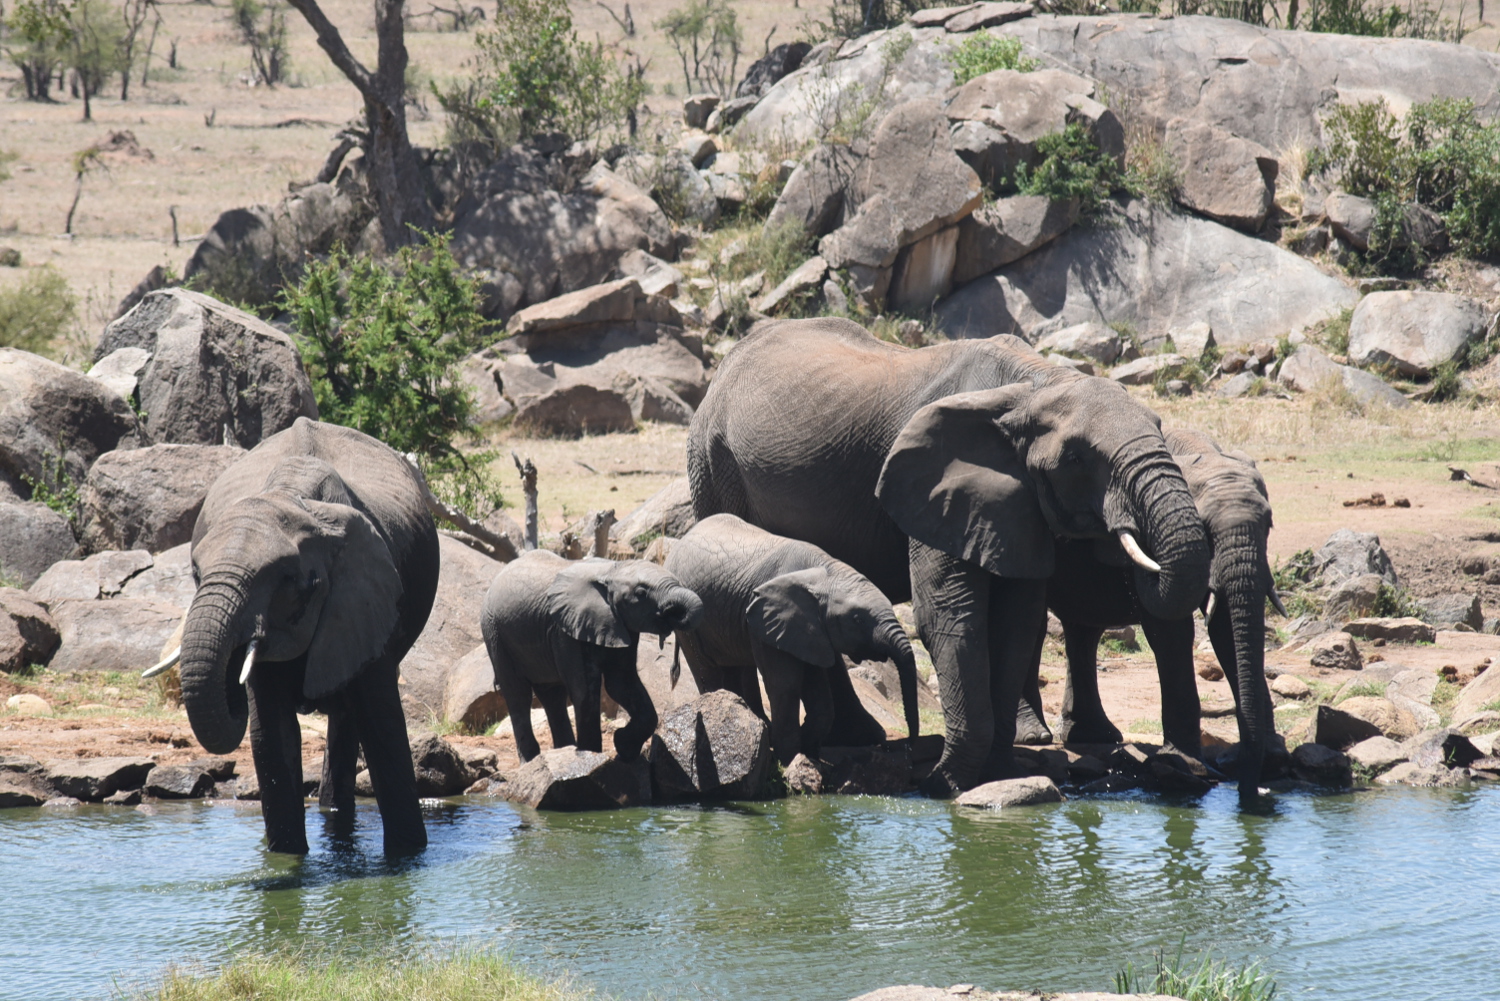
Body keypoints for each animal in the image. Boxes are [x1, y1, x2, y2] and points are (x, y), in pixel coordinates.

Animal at [155, 420, 438, 858]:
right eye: (196, 574)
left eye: (291, 579)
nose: (231, 684)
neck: (297, 499)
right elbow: (272, 734)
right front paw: (287, 859)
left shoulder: (366, 601)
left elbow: (384, 730)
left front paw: (408, 858)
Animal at [486, 552, 708, 762]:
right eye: (641, 593)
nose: (671, 614)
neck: (609, 571)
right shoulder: (566, 630)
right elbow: (585, 690)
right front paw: (591, 760)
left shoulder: (620, 624)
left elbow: (621, 683)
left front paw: (623, 748)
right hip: (495, 634)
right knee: (518, 694)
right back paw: (532, 760)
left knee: (552, 695)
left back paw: (564, 751)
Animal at [666, 516, 918, 768]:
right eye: (857, 619)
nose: (907, 749)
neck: (824, 571)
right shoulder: (766, 622)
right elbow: (785, 685)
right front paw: (789, 761)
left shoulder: (808, 631)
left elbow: (819, 693)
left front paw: (809, 754)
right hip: (689, 623)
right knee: (707, 670)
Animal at [1020, 426, 1278, 804]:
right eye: (1205, 529)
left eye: (1269, 525)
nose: (1251, 791)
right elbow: (1170, 629)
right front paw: (1188, 763)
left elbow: (1226, 629)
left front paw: (1272, 755)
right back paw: (1034, 737)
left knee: (1083, 631)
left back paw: (1094, 736)